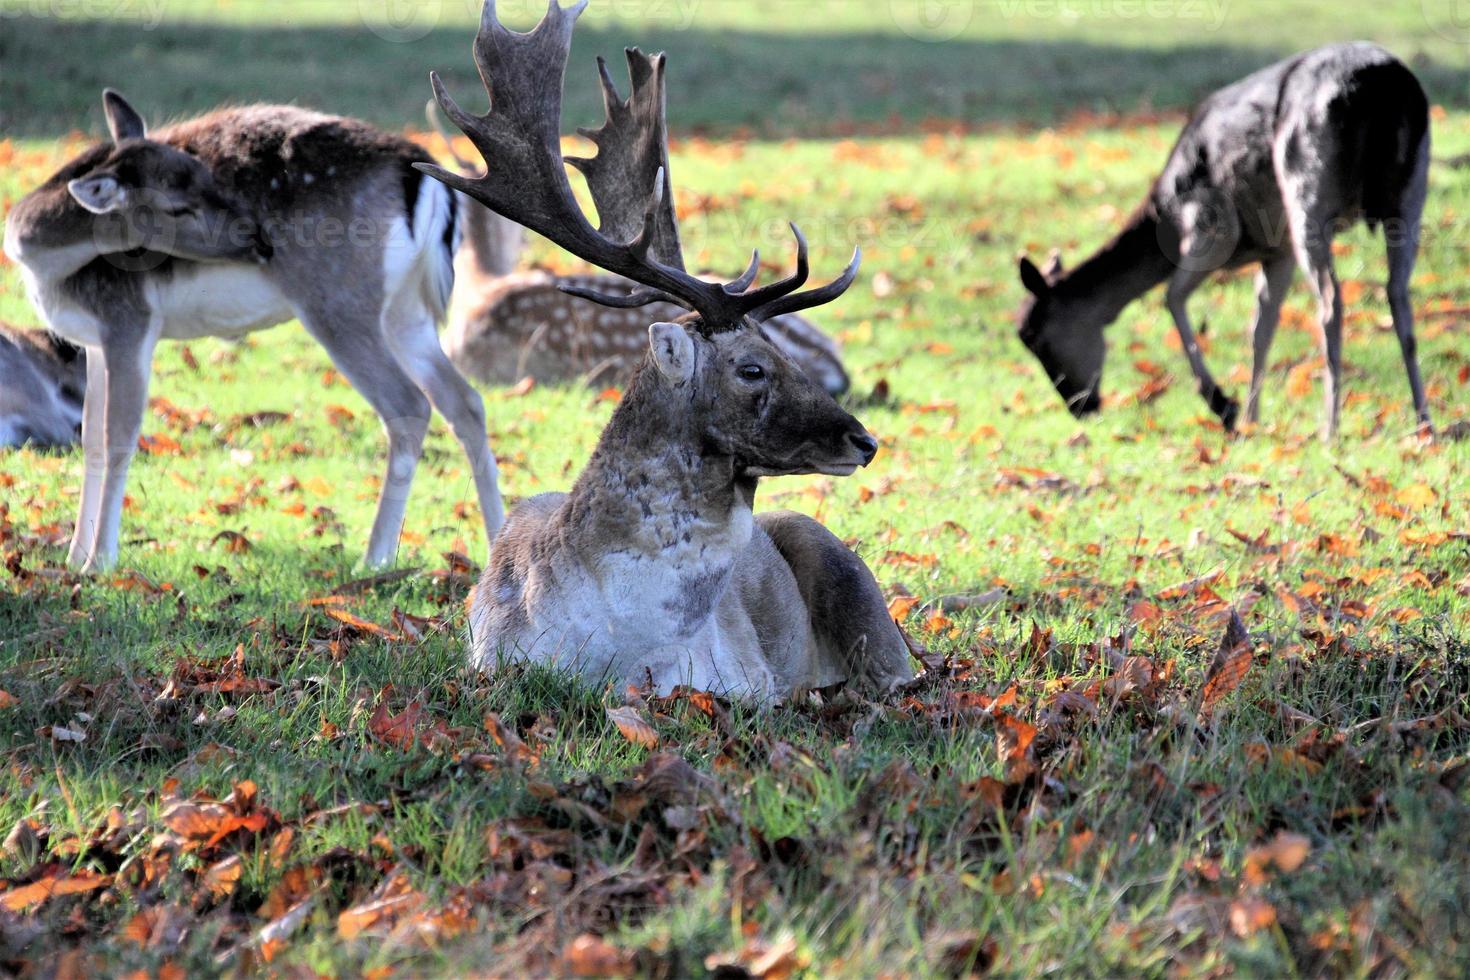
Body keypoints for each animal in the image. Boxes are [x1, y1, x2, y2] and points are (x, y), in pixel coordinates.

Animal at [2, 89, 505, 575]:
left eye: (206, 177)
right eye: (177, 205)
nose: (257, 242)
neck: (45, 268)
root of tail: (419, 173)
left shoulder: (129, 318)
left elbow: (119, 436)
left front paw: (99, 563)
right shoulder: (93, 341)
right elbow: (90, 438)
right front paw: (72, 558)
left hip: (340, 302)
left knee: (409, 404)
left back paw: (374, 558)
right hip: (406, 311)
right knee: (466, 401)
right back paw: (494, 544)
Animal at [1017, 44, 1428, 437]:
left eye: (1032, 336)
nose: (1080, 407)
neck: (1166, 214)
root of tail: (1381, 86)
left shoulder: (1211, 225)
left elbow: (1172, 297)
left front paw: (1224, 406)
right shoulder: (1276, 250)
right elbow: (1261, 328)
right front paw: (1250, 419)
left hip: (1306, 182)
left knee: (1330, 298)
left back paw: (1330, 429)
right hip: (1410, 190)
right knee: (1397, 291)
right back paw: (1424, 423)